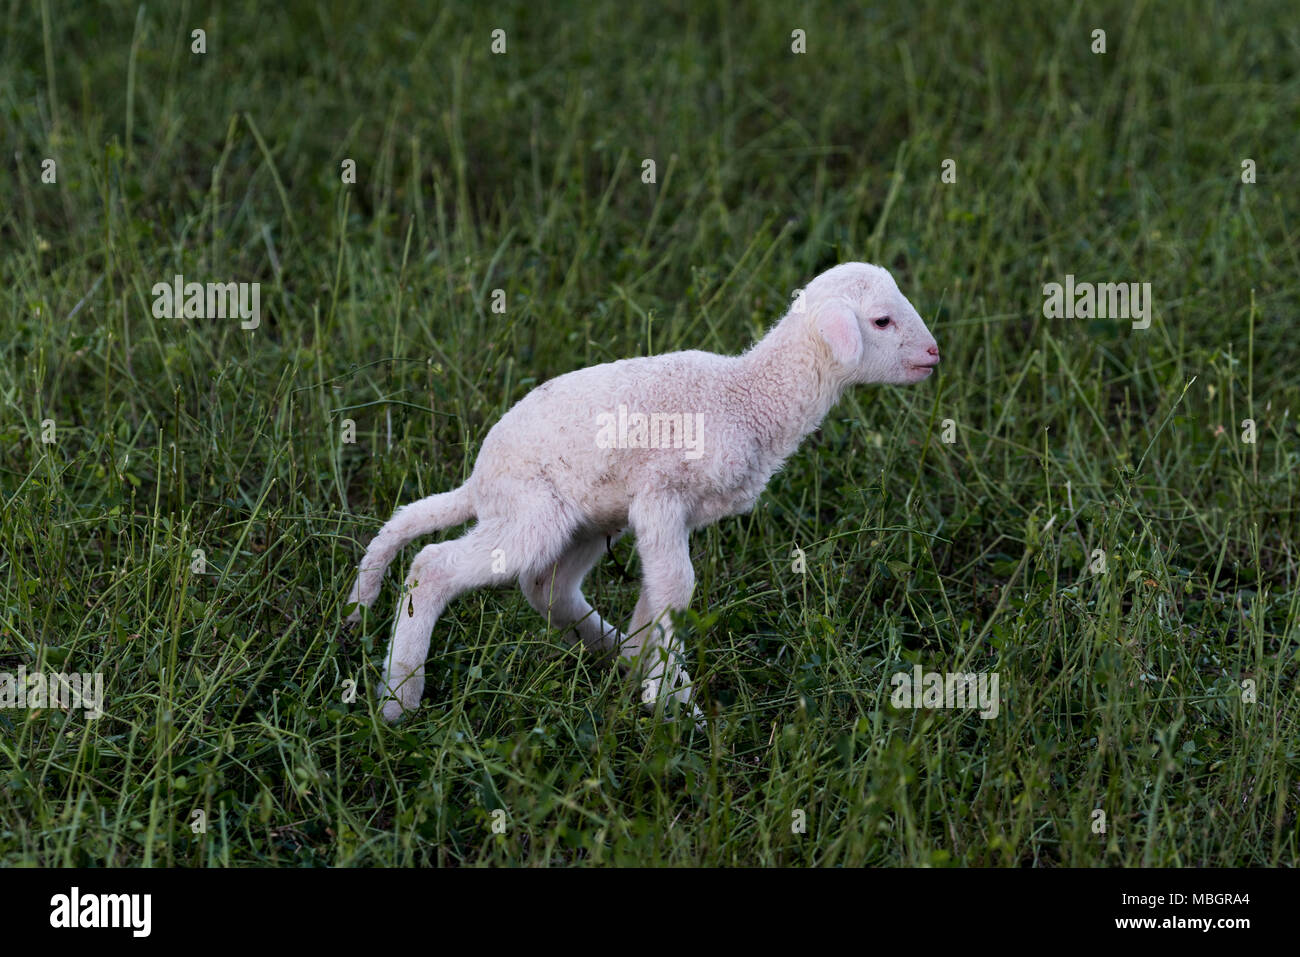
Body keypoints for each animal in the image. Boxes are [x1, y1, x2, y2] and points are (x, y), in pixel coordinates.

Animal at [345, 262, 940, 723]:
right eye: (882, 320)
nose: (934, 353)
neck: (748, 397)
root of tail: (479, 480)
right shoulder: (661, 493)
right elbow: (678, 587)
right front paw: (673, 701)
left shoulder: (669, 513)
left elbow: (660, 592)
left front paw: (652, 677)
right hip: (532, 511)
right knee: (432, 567)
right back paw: (399, 701)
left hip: (587, 518)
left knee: (547, 588)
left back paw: (615, 652)